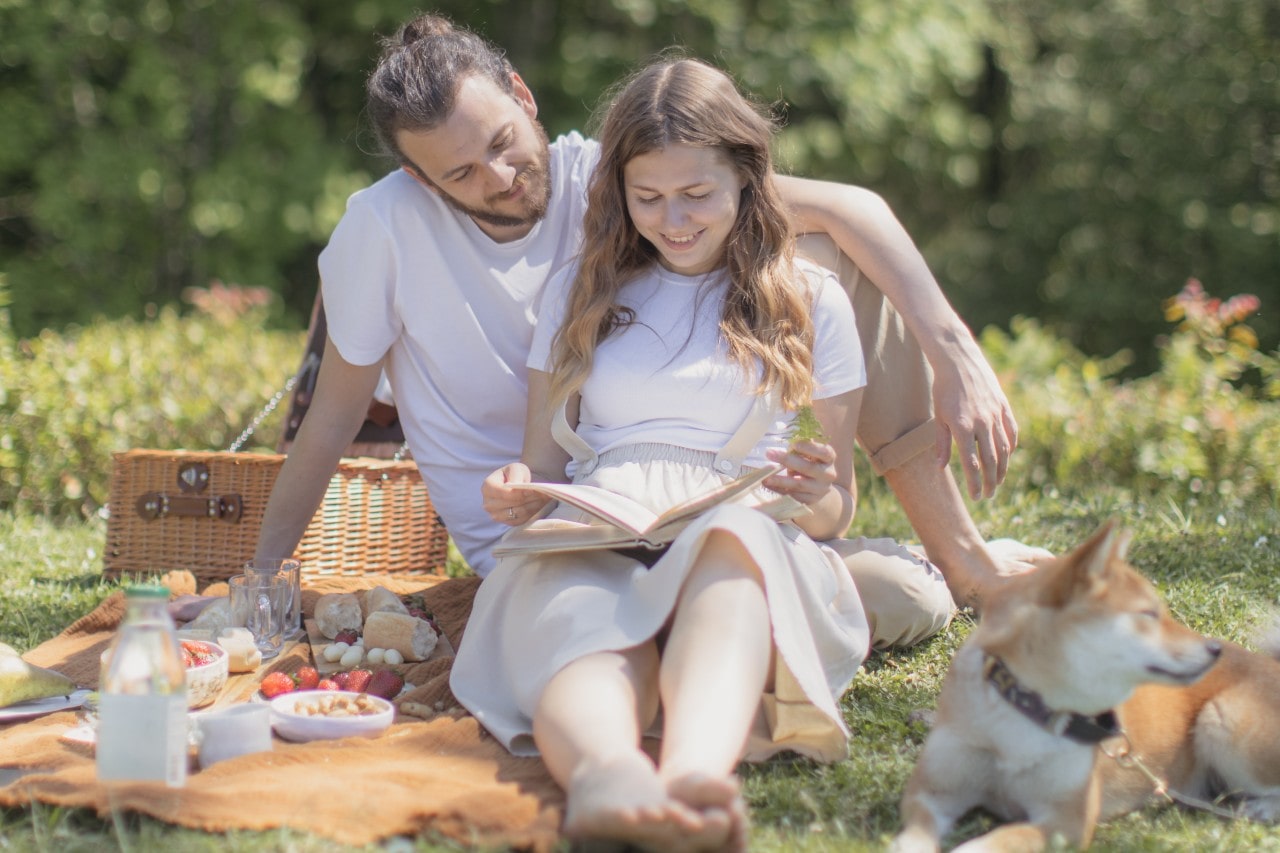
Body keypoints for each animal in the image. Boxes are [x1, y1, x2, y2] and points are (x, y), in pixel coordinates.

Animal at [890, 514, 1280, 845]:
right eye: (1148, 614)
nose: (1214, 649)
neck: (1026, 709)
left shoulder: (1066, 821)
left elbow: (996, 840)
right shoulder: (931, 793)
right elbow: (914, 835)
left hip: (1221, 723)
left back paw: (1259, 808)